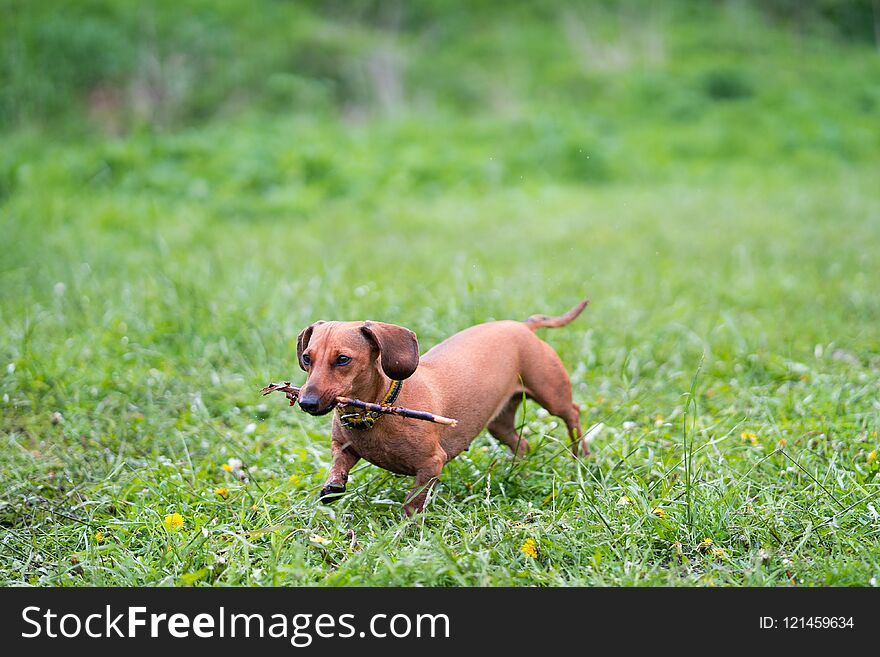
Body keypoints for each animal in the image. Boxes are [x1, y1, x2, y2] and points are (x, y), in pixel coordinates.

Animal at [296, 300, 592, 516]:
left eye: (343, 359)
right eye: (307, 358)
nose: (306, 403)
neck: (378, 409)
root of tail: (523, 326)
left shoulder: (431, 464)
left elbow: (413, 501)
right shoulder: (343, 447)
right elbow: (338, 463)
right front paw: (333, 486)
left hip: (552, 395)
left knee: (573, 413)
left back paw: (582, 455)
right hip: (499, 423)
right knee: (522, 443)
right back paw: (516, 469)